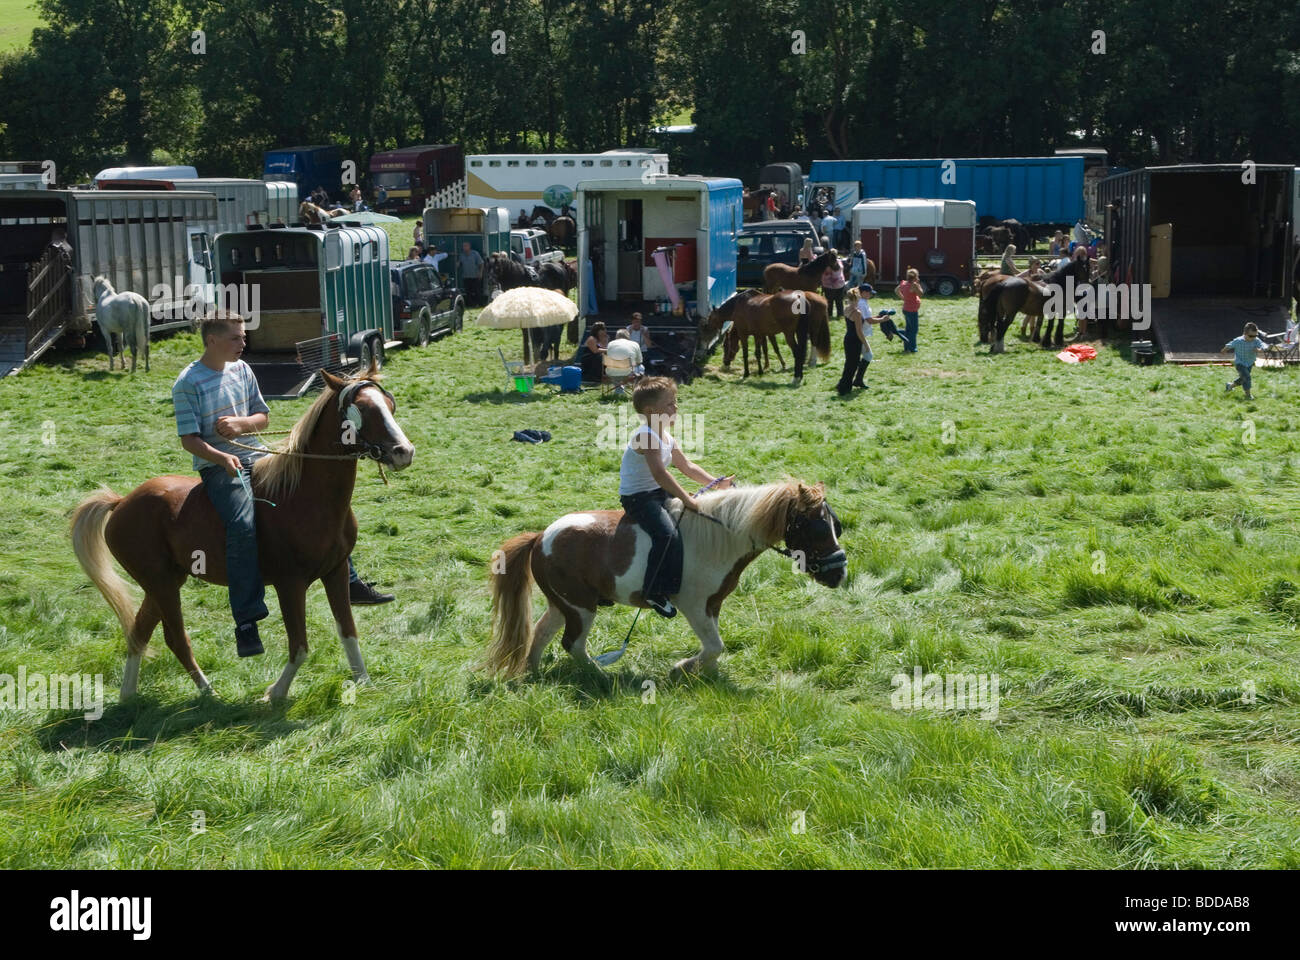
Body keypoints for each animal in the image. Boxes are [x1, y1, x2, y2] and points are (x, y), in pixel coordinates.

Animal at [69, 361, 410, 697]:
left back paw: (129, 695)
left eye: (389, 404)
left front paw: (363, 680)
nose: (404, 451)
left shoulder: (335, 571)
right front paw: (276, 692)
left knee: (139, 631)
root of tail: (121, 502)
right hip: (160, 584)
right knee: (174, 638)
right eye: (362, 409)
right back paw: (208, 693)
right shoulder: (290, 584)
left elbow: (348, 630)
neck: (301, 495)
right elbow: (299, 645)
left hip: (166, 582)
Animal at [486, 476, 842, 671]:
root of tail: (540, 537)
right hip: (581, 607)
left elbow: (714, 646)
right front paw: (681, 668)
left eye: (836, 526)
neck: (719, 537)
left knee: (541, 633)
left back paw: (532, 673)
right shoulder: (693, 605)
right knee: (572, 644)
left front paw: (703, 673)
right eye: (817, 527)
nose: (838, 574)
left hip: (564, 604)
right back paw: (601, 676)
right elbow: (715, 645)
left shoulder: (712, 605)